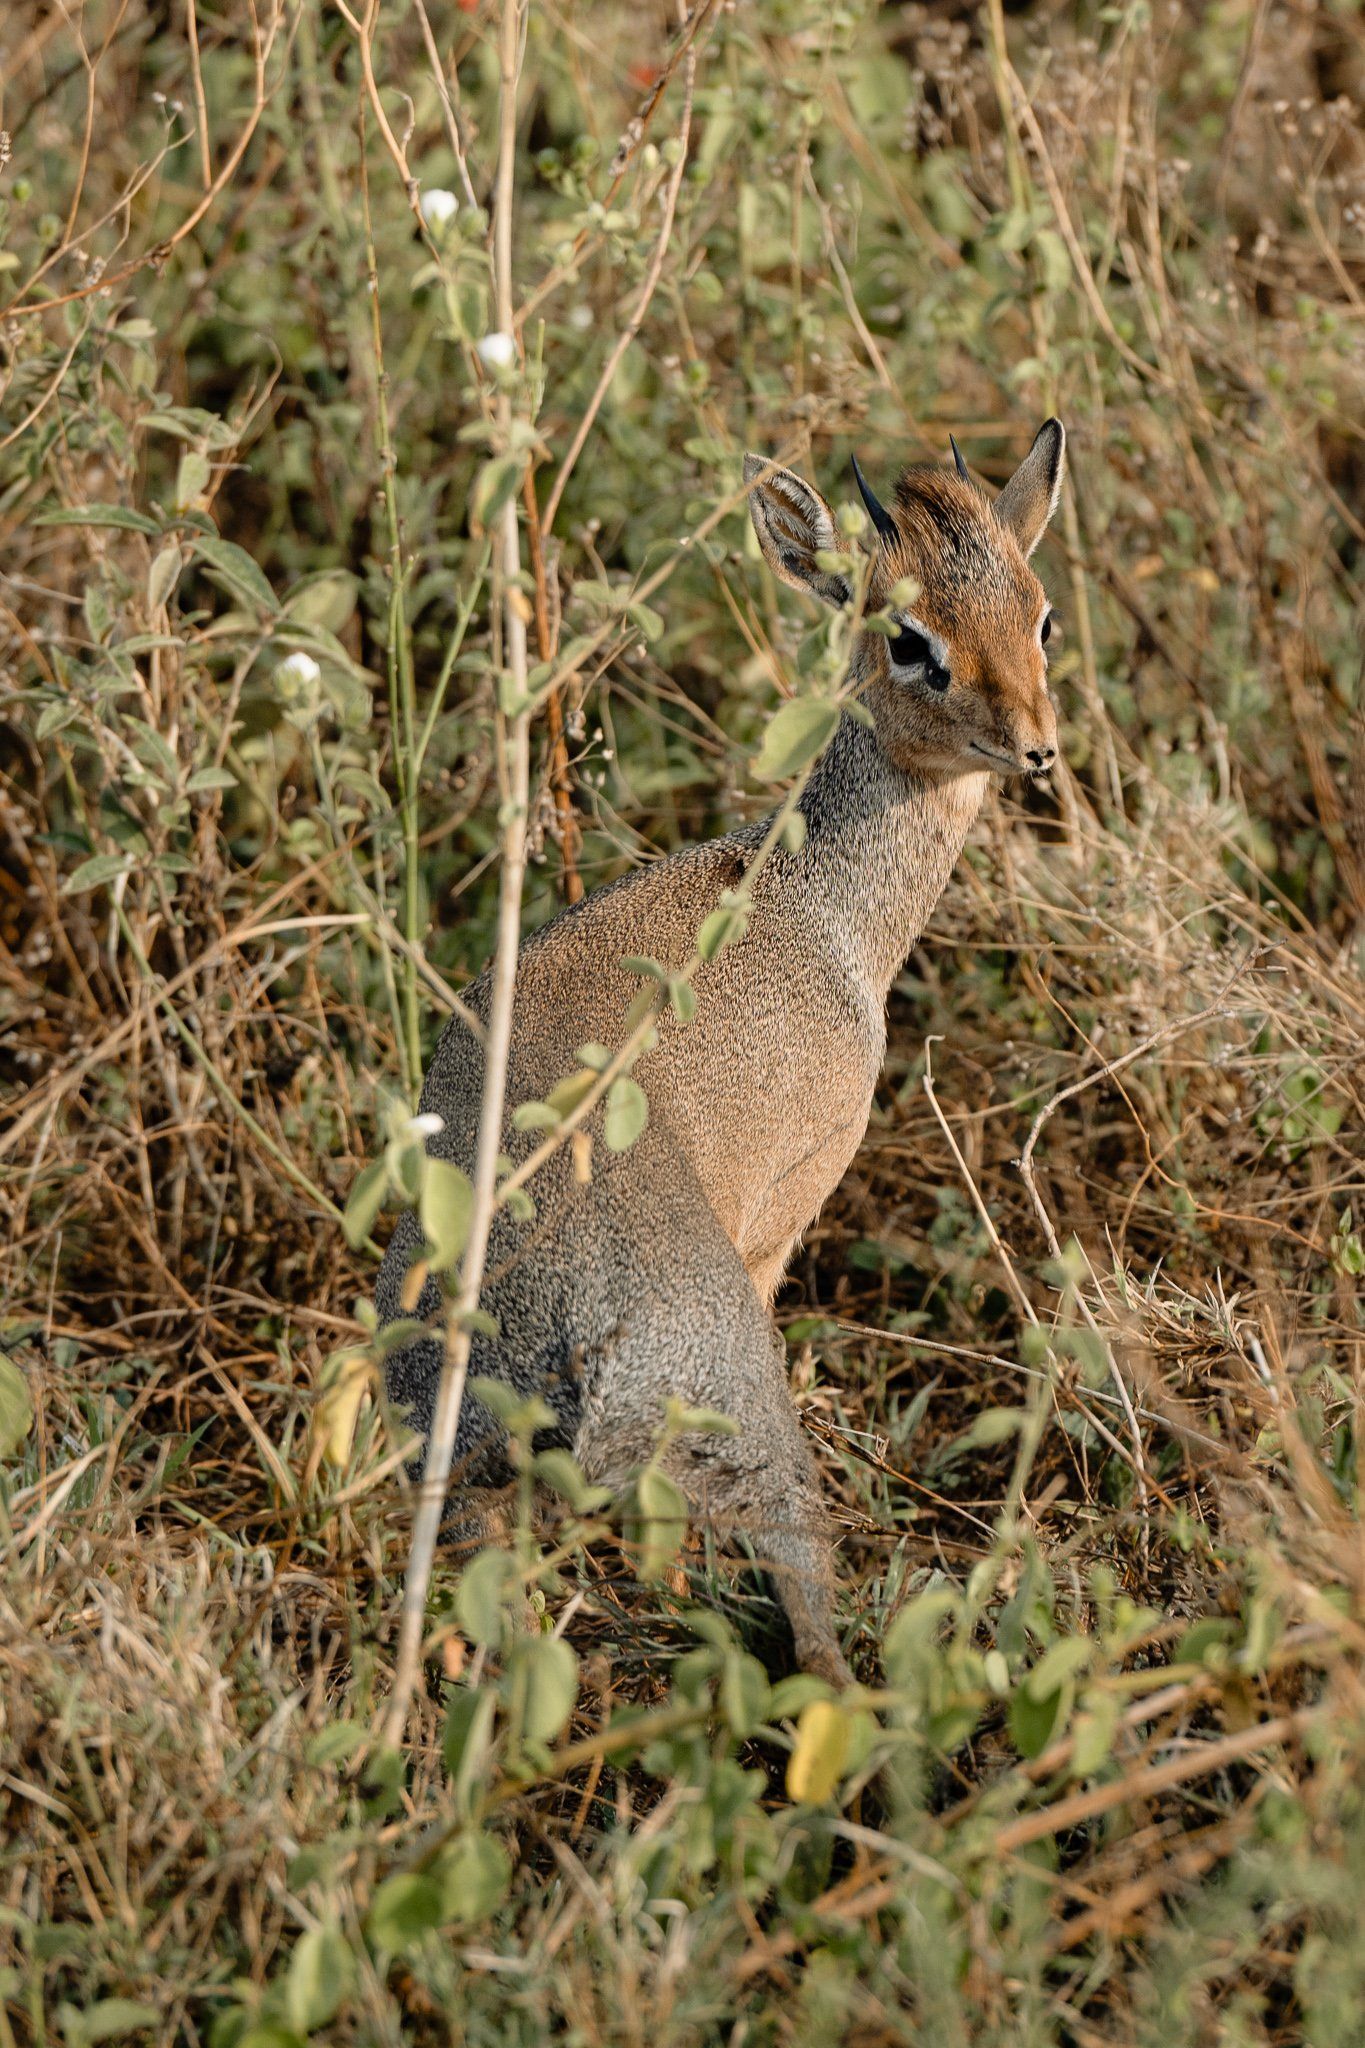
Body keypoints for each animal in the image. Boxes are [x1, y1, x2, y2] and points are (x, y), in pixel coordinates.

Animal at [375, 419, 1066, 1685]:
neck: (819, 904)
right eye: (910, 641)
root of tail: (565, 1340)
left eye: (1039, 614)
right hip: (755, 1435)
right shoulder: (782, 1221)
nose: (1036, 748)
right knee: (810, 1634)